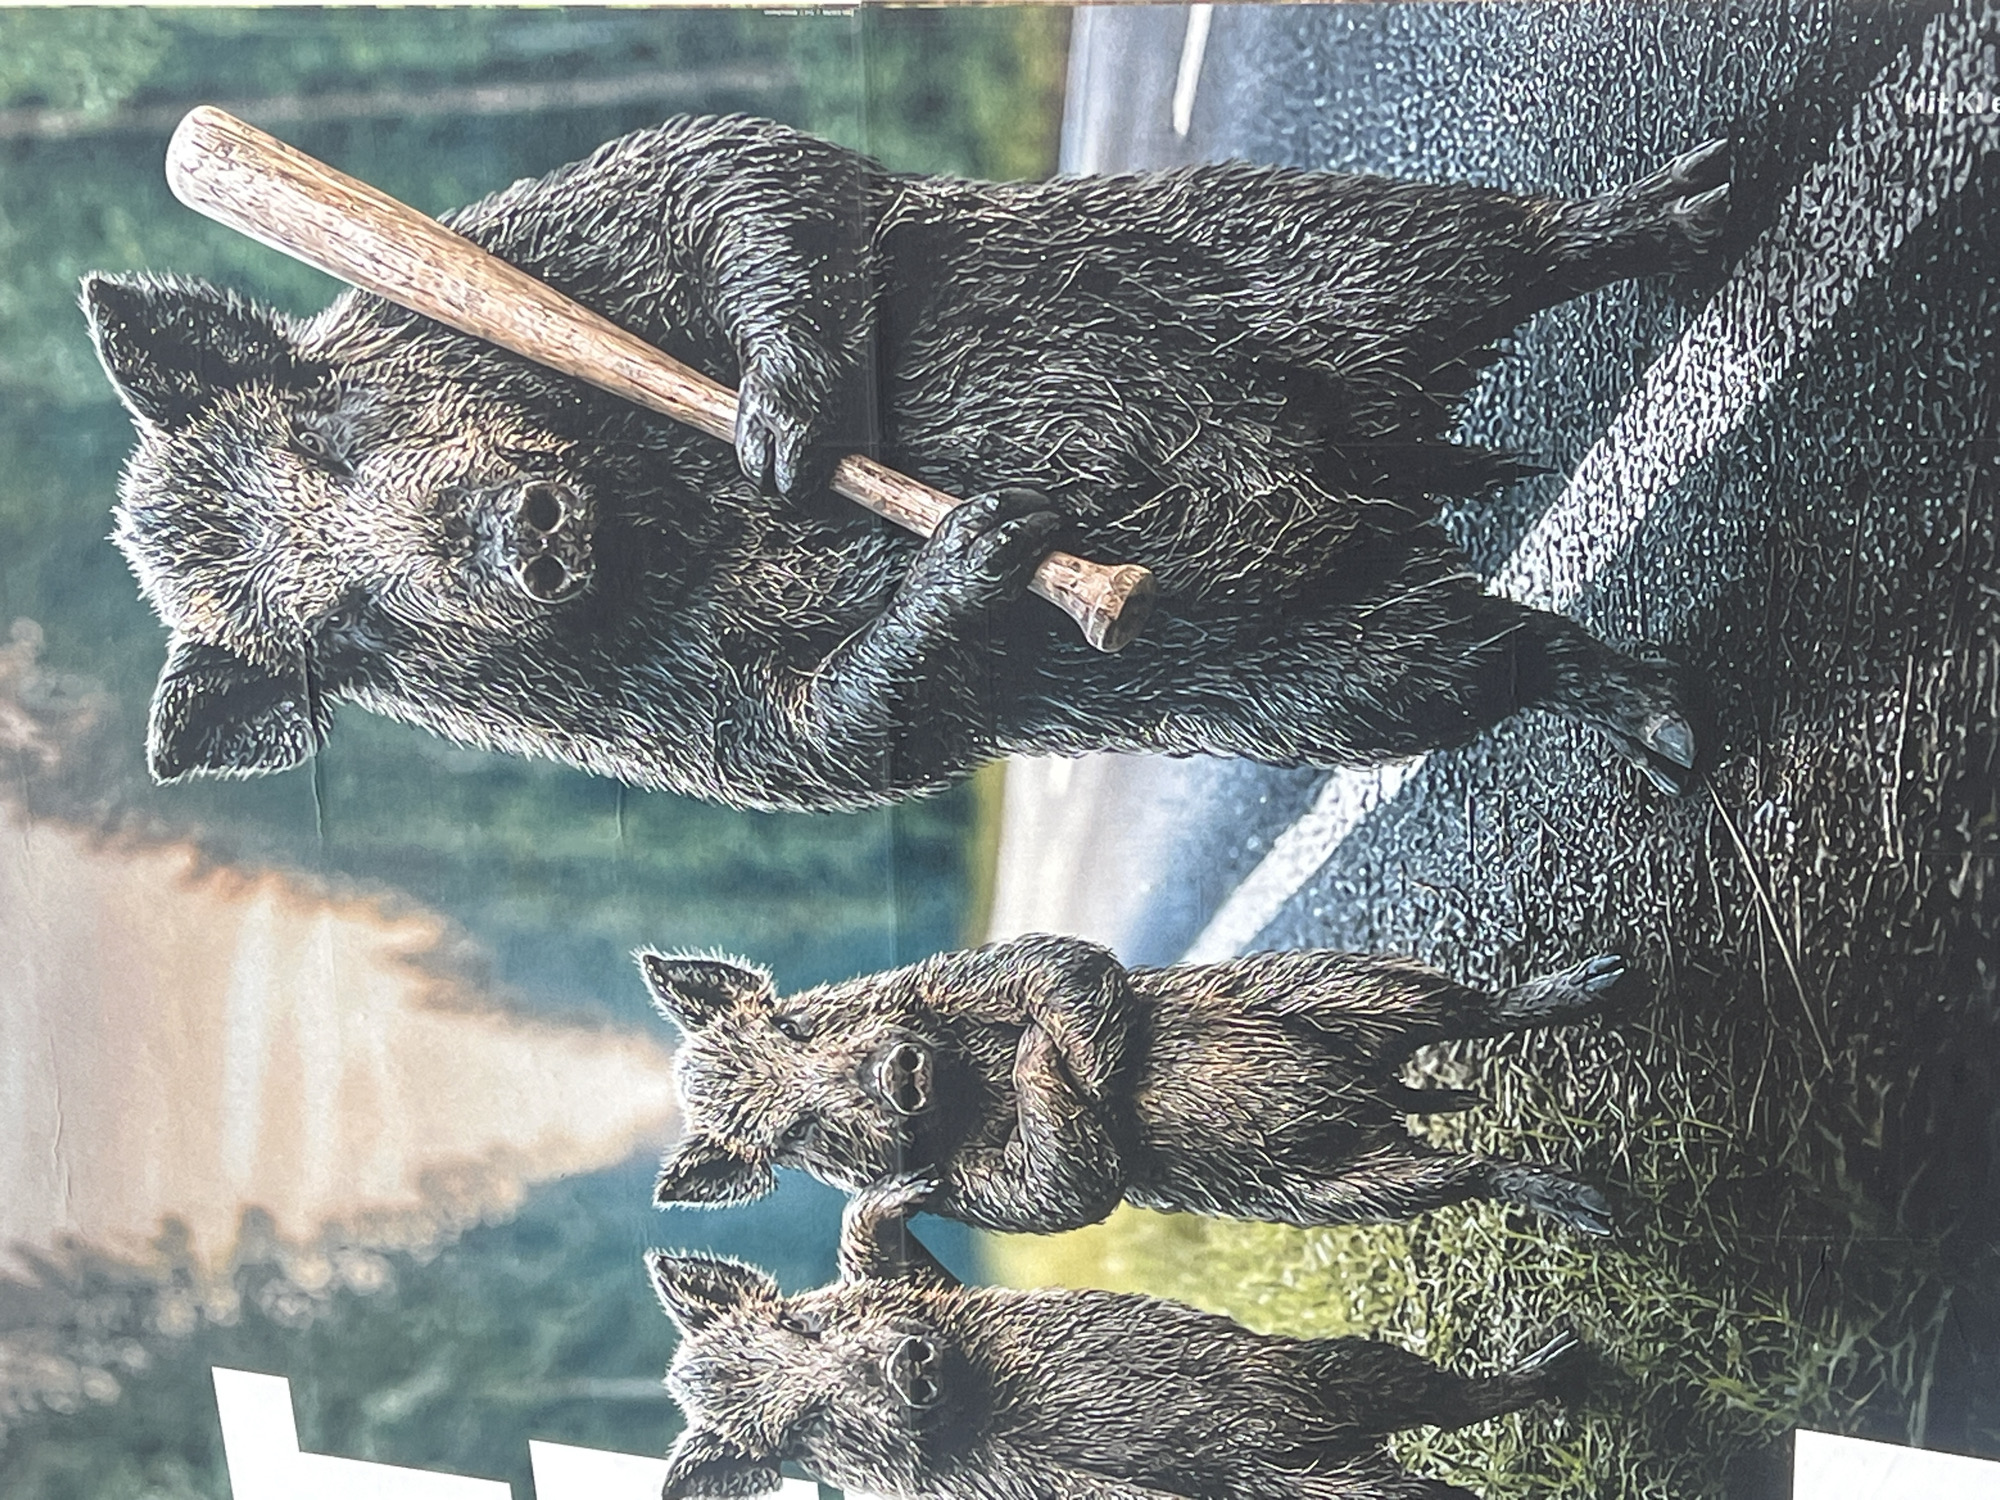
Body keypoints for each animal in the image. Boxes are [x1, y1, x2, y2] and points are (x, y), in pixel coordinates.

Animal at [81, 118, 1730, 812]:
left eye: (333, 429)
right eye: (344, 631)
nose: (527, 536)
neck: (649, 502)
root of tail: (1382, 468)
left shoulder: (587, 224)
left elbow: (745, 183)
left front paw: (782, 433)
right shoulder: (684, 733)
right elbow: (841, 738)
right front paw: (990, 539)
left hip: (1290, 257)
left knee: (1469, 246)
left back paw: (1694, 207)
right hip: (1297, 679)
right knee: (1471, 657)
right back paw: (1667, 731)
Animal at [643, 932, 1627, 1237]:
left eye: (793, 1024)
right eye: (791, 1136)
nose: (899, 1072)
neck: (969, 1087)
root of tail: (1376, 1092)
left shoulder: (980, 972)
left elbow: (1065, 973)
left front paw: (1048, 1051)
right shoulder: (969, 1199)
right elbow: (1066, 1187)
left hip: (1331, 986)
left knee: (1470, 1008)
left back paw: (1610, 978)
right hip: (1328, 1190)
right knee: (1462, 1171)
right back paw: (1602, 1211)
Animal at [651, 1175, 1589, 1500]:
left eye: (803, 1321)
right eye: (797, 1429)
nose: (909, 1364)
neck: (978, 1396)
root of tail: (1336, 1444)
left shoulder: (933, 1289)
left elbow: (871, 1230)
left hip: (1309, 1376)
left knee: (1428, 1397)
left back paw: (1562, 1361)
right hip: (1313, 1442)